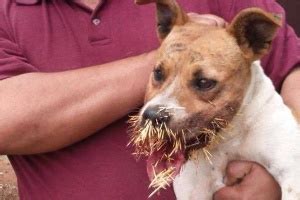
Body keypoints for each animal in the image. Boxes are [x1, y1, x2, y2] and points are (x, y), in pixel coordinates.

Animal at [131, 0, 300, 199]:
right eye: (158, 73)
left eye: (204, 82)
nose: (152, 116)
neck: (228, 138)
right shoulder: (194, 190)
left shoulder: (292, 173)